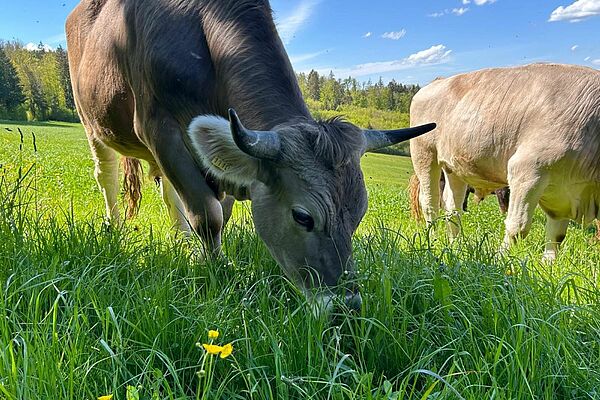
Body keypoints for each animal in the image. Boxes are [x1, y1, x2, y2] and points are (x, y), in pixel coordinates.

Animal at [65, 0, 434, 310]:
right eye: (303, 217)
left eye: (359, 214)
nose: (347, 307)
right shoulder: (159, 128)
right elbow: (207, 214)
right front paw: (213, 271)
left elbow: (220, 212)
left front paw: (199, 257)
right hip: (93, 123)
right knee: (107, 176)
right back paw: (116, 227)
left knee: (169, 193)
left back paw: (180, 242)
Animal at [410, 64, 596, 260]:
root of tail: (439, 80)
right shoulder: (527, 171)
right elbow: (517, 226)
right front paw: (499, 261)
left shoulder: (561, 193)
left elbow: (557, 235)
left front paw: (548, 264)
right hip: (424, 153)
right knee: (430, 203)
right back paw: (433, 241)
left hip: (454, 166)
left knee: (452, 207)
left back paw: (456, 246)